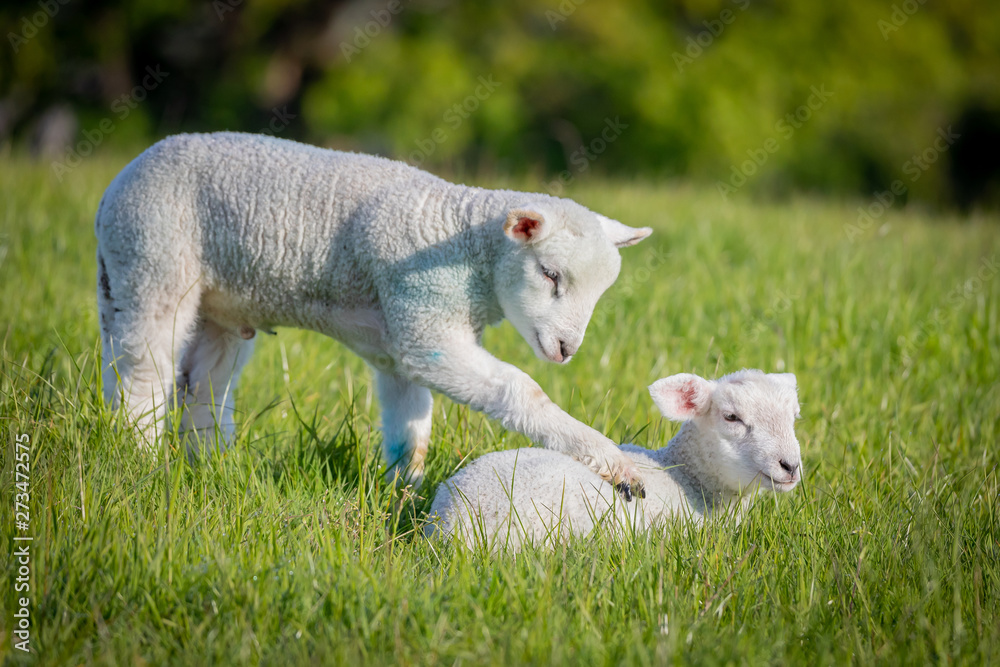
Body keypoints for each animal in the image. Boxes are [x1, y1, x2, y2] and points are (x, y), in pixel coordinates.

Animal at [95, 132, 652, 495]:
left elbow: (411, 429)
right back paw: (138, 458)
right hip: (150, 261)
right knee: (144, 374)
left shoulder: (401, 340)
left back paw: (211, 467)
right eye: (550, 274)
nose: (566, 349)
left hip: (215, 308)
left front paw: (405, 496)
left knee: (203, 387)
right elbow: (522, 390)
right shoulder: (425, 322)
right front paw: (613, 463)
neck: (465, 245)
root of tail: (115, 186)